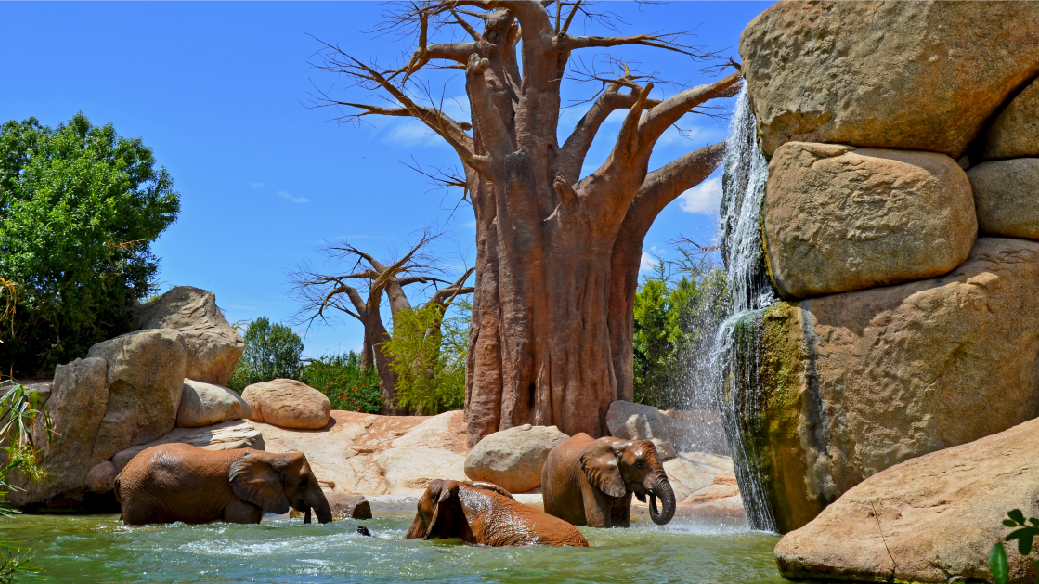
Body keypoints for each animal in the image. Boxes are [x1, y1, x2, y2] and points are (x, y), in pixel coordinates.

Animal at [115, 443, 332, 526]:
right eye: (303, 483)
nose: (307, 514)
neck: (273, 455)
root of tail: (122, 472)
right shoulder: (237, 497)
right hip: (140, 494)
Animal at [541, 434, 676, 528]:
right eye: (639, 466)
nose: (651, 494)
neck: (621, 444)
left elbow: (621, 520)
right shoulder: (587, 479)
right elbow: (599, 521)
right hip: (546, 483)